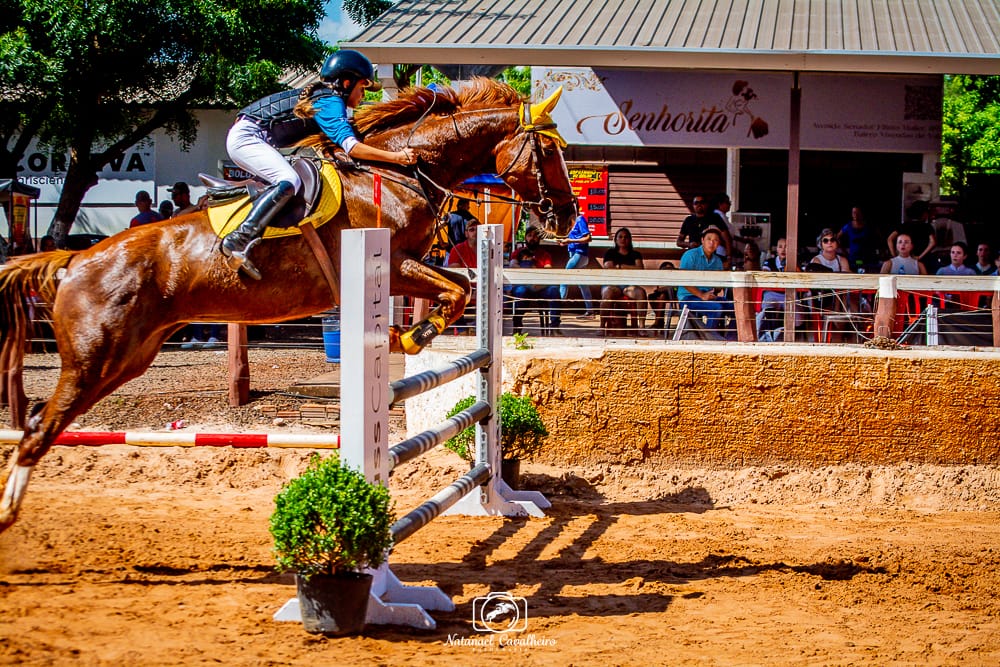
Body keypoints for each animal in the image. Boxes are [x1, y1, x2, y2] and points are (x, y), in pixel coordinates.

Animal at [0, 79, 576, 532]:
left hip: (128, 359)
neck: (401, 173)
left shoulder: (411, 264)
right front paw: (410, 337)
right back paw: (8, 513)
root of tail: (75, 260)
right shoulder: (391, 262)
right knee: (38, 431)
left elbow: (461, 285)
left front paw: (407, 334)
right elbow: (456, 292)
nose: (568, 218)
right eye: (549, 153)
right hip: (95, 360)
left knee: (39, 423)